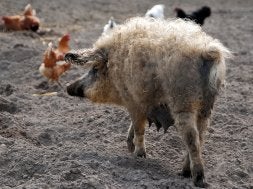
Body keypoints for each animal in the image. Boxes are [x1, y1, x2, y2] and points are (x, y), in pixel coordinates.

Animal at [65, 16, 231, 188]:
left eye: (95, 69)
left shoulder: (133, 100)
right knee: (200, 137)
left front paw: (138, 156)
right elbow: (135, 124)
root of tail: (206, 53)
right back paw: (184, 173)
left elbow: (139, 127)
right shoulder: (140, 104)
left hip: (183, 101)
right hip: (207, 107)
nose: (68, 87)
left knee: (191, 137)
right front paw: (130, 147)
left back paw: (197, 179)